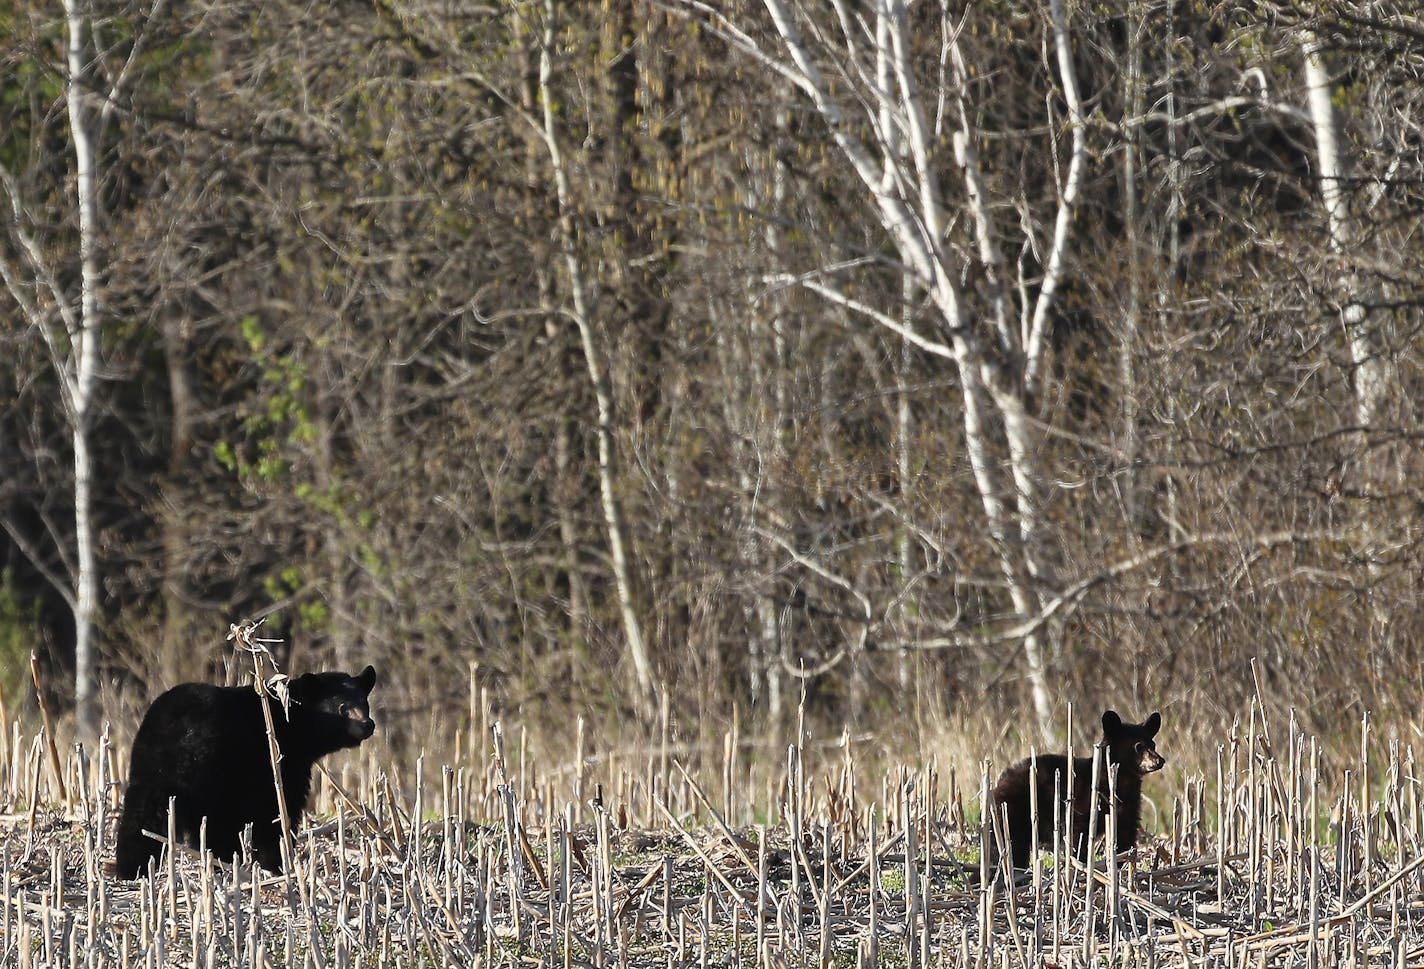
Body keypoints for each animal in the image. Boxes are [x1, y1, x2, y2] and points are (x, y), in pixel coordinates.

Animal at [115, 666, 378, 877]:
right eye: (342, 708)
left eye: (365, 703)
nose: (367, 724)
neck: (289, 722)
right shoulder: (274, 764)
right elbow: (277, 811)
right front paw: (279, 861)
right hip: (212, 775)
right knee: (215, 824)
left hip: (147, 772)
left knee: (141, 817)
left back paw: (131, 867)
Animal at [985, 706, 1161, 872]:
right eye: (1138, 746)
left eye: (1153, 744)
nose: (1160, 761)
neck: (1122, 780)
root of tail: (999, 781)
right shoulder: (1081, 804)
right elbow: (1077, 838)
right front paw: (1082, 865)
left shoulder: (1129, 805)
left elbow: (1126, 837)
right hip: (1013, 813)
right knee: (1010, 847)